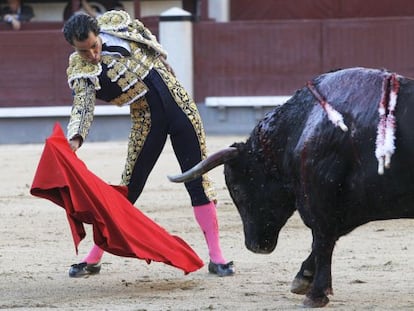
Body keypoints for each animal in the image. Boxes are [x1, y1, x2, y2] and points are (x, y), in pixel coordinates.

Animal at [167, 67, 414, 308]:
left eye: (236, 188)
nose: (255, 246)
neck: (301, 124)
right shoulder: (347, 206)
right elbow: (326, 240)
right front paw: (303, 279)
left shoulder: (321, 199)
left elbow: (322, 240)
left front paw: (315, 294)